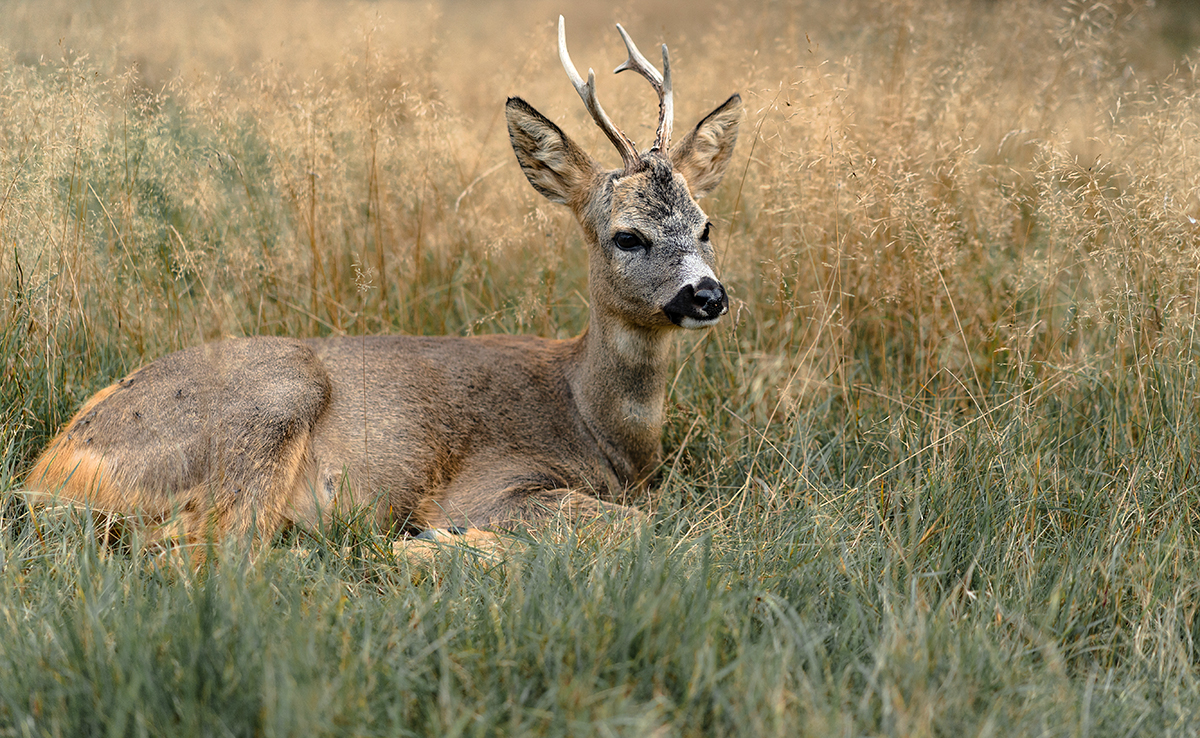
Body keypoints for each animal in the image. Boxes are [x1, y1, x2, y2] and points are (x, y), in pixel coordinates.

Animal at [23, 17, 739, 556]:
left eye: (706, 225)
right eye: (627, 236)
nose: (708, 296)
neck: (598, 424)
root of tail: (51, 470)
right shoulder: (495, 482)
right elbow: (635, 525)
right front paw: (434, 542)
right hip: (272, 396)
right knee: (210, 551)